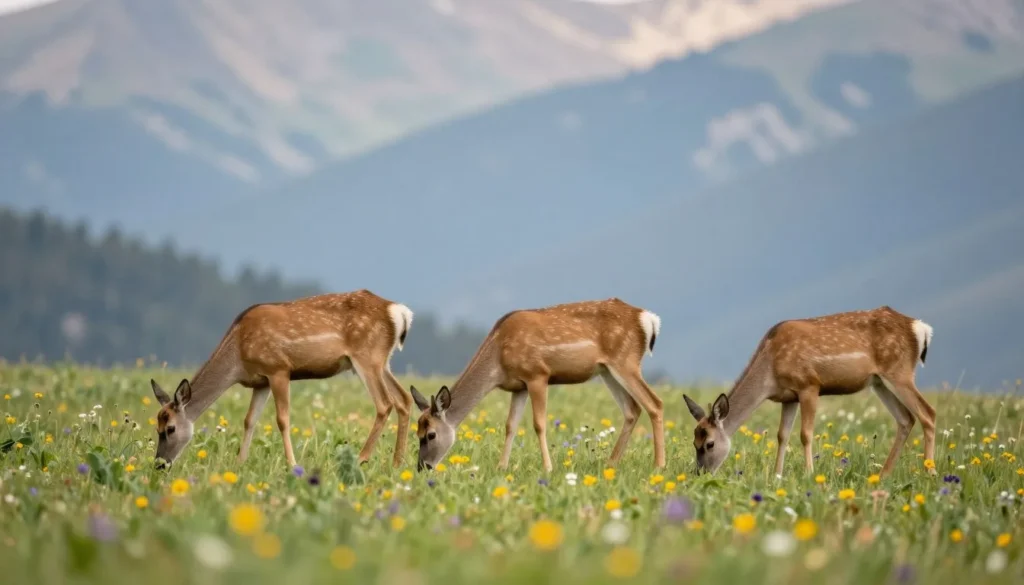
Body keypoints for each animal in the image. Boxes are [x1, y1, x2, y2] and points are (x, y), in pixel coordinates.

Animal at [147, 289, 415, 470]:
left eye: (170, 428)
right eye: (156, 427)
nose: (160, 464)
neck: (238, 355)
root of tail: (399, 312)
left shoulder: (278, 369)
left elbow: (282, 420)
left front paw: (292, 465)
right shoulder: (261, 381)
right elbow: (249, 420)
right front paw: (240, 463)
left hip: (366, 357)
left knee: (385, 403)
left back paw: (361, 459)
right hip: (382, 362)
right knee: (403, 398)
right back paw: (397, 464)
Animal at [409, 297, 666, 474]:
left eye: (430, 435)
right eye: (417, 432)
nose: (423, 467)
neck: (498, 359)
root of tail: (649, 319)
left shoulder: (537, 375)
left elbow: (539, 424)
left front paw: (548, 468)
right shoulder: (518, 386)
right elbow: (510, 425)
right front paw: (501, 467)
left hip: (625, 361)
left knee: (654, 403)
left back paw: (659, 465)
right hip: (607, 370)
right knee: (632, 409)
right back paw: (611, 463)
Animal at [683, 305, 936, 479]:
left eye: (709, 444)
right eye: (693, 442)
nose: (700, 473)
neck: (770, 371)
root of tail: (921, 328)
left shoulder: (809, 385)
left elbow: (805, 434)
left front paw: (809, 474)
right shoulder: (788, 397)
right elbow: (782, 435)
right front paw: (777, 476)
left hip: (899, 371)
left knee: (928, 413)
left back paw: (929, 473)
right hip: (879, 382)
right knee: (906, 418)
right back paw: (883, 475)